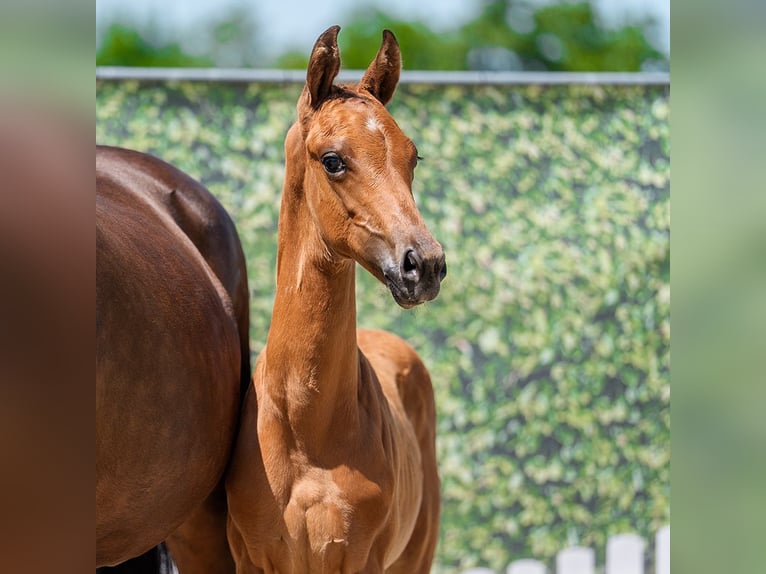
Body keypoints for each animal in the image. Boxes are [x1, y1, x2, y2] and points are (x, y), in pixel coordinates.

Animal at [225, 26, 445, 573]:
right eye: (333, 160)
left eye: (413, 157)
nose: (425, 265)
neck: (308, 432)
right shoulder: (252, 559)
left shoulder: (360, 558)